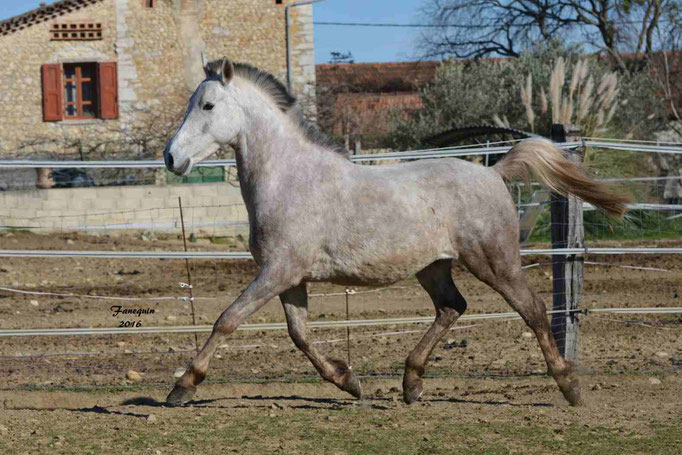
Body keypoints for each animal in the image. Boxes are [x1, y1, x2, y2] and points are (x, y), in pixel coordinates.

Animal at [161, 59, 628, 406]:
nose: (170, 157)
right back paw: (411, 383)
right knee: (452, 307)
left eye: (207, 105)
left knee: (532, 310)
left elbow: (227, 319)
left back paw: (569, 386)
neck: (289, 179)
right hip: (433, 266)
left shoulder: (278, 272)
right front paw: (349, 382)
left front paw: (182, 387)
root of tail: (494, 172)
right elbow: (300, 335)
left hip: (494, 262)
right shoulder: (290, 277)